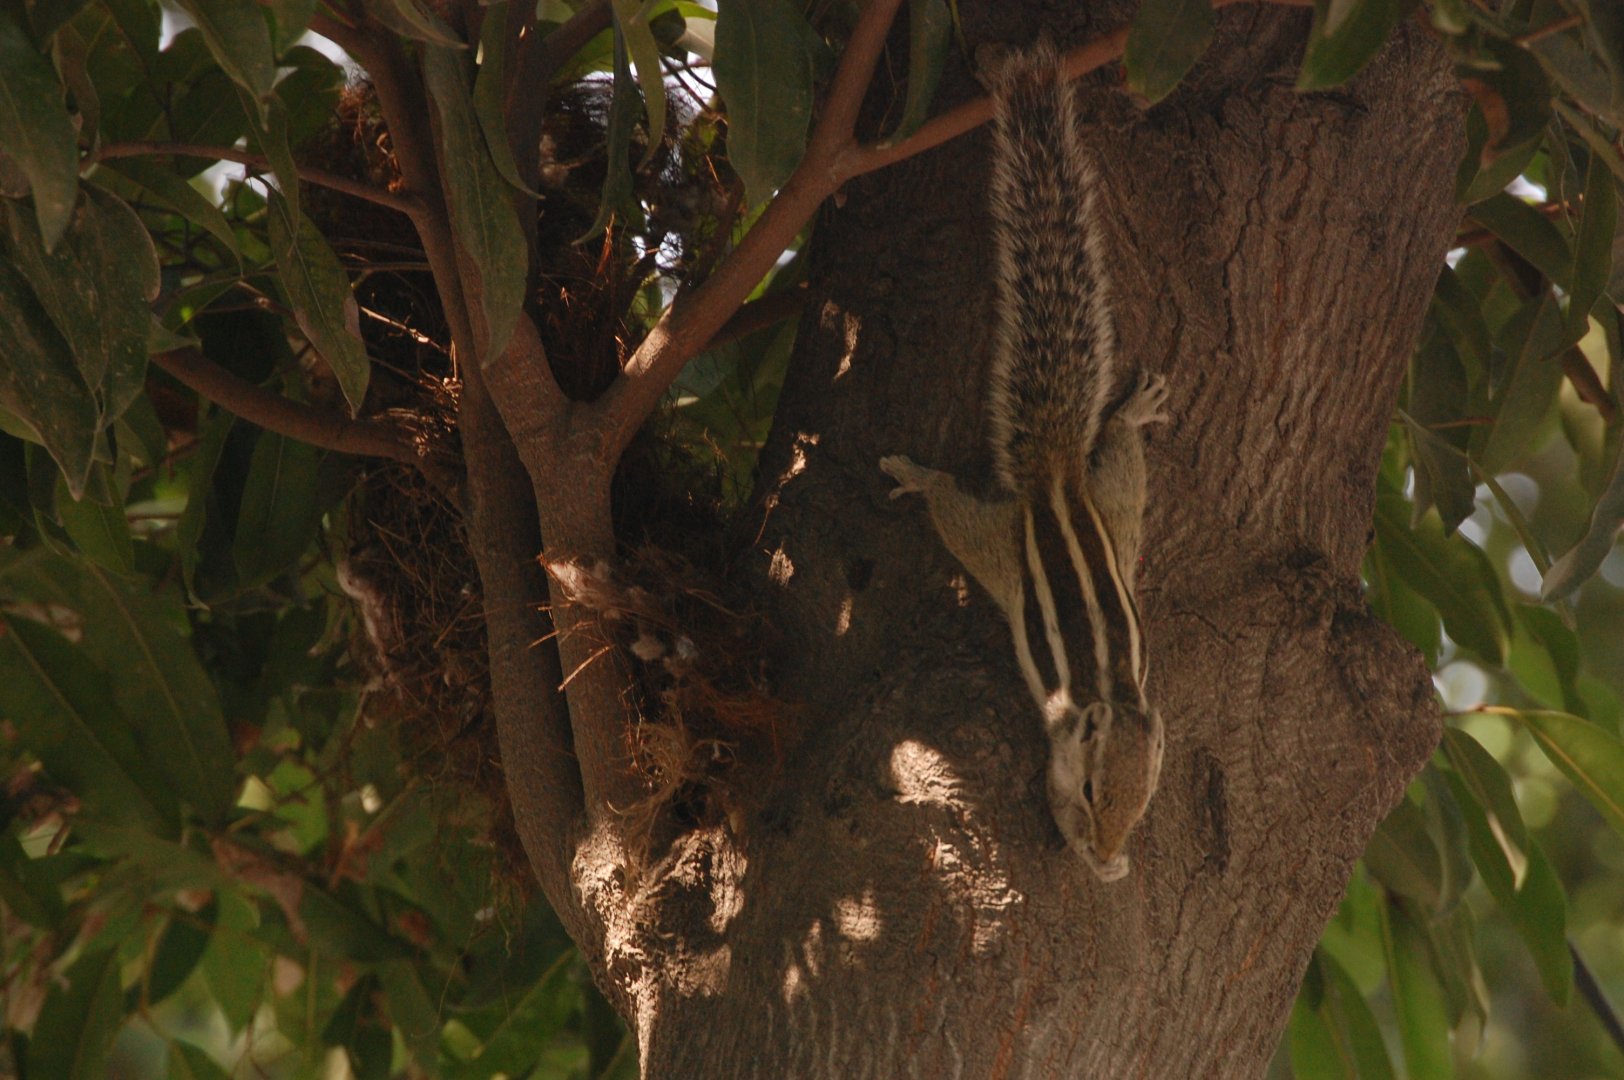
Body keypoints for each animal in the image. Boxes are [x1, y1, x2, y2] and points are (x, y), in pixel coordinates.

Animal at [880, 41, 1169, 882]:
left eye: (1145, 798)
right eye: (1096, 789)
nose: (1111, 842)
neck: (1114, 699)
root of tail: (1057, 481)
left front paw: (1112, 862)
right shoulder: (1057, 752)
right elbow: (1048, 795)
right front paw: (1092, 859)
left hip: (1118, 509)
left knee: (1123, 460)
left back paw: (1133, 412)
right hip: (998, 550)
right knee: (955, 511)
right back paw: (919, 478)